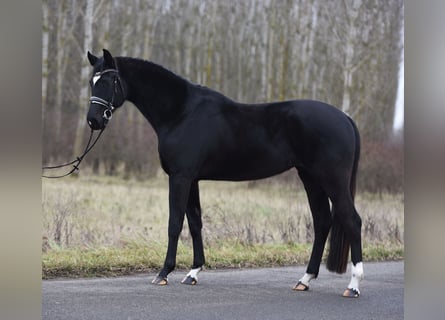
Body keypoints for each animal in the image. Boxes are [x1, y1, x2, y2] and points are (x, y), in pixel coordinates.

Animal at [87, 49, 364, 298]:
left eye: (108, 82)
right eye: (92, 81)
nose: (93, 121)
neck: (182, 112)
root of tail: (345, 118)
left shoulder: (180, 177)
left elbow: (175, 223)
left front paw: (164, 273)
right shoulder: (192, 179)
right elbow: (195, 223)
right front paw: (193, 273)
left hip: (332, 179)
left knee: (352, 221)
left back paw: (353, 286)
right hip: (310, 178)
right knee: (322, 221)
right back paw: (304, 280)